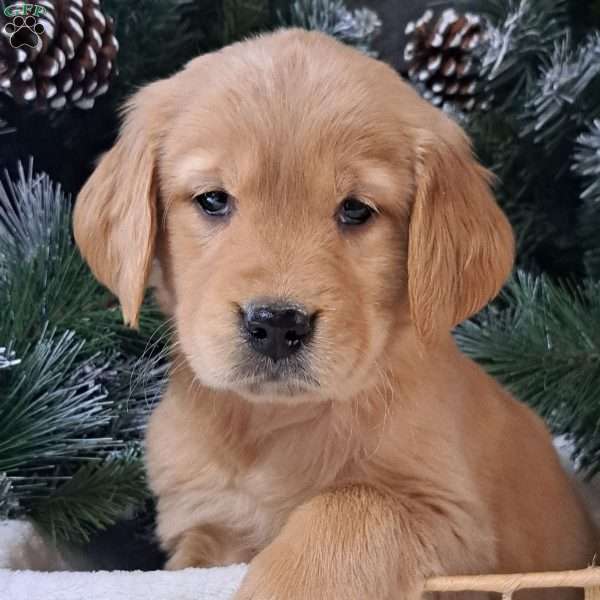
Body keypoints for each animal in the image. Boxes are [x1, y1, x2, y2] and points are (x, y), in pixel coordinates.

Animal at [72, 29, 596, 600]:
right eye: (213, 200)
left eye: (356, 210)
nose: (277, 323)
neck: (276, 423)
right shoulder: (205, 525)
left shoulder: (453, 521)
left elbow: (354, 503)